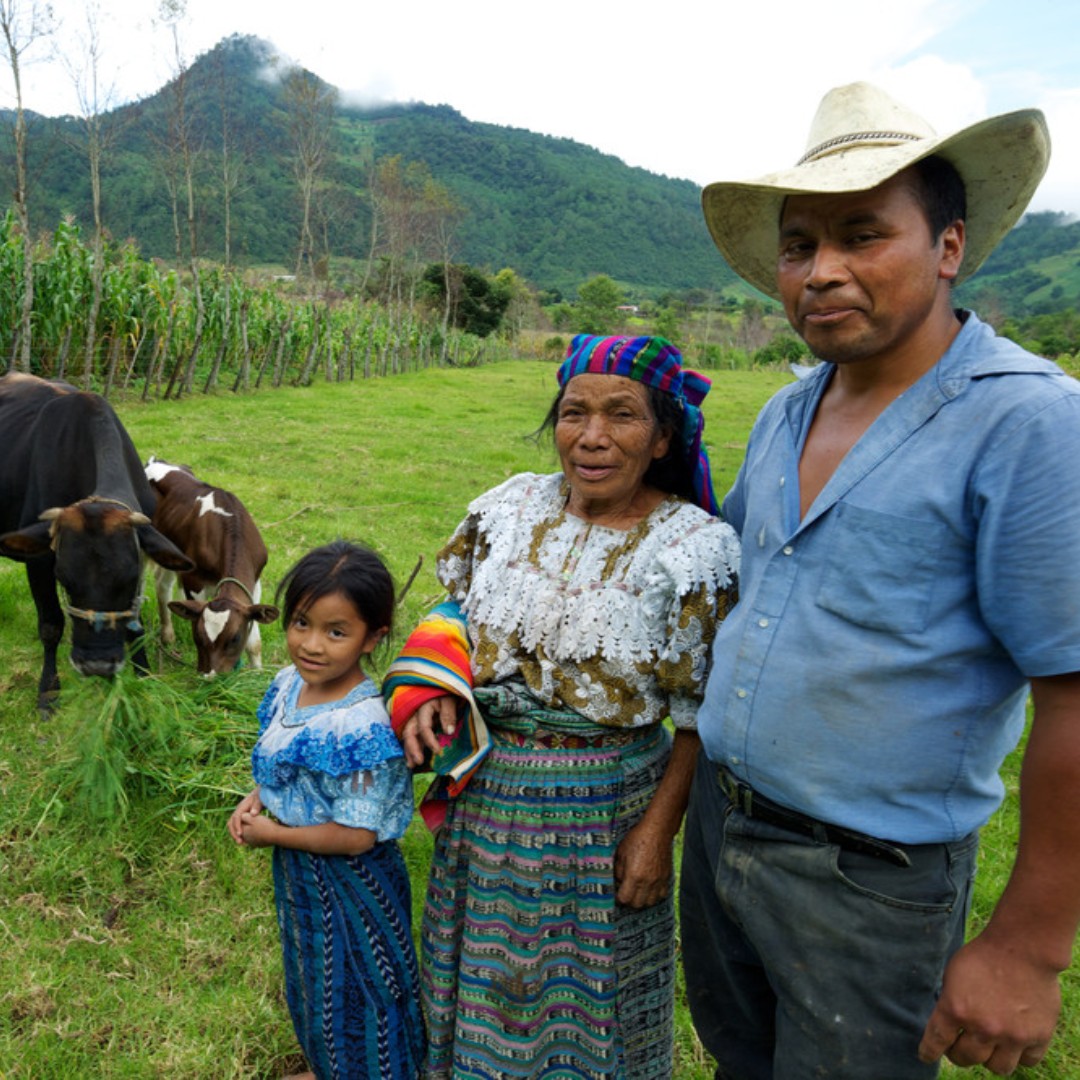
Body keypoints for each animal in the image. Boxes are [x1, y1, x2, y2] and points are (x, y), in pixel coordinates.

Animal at [143, 457, 278, 673]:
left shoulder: (254, 583)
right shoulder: (193, 581)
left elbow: (254, 642)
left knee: (162, 584)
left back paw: (167, 635)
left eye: (235, 638)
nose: (213, 675)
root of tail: (156, 461)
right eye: (199, 637)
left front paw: (257, 674)